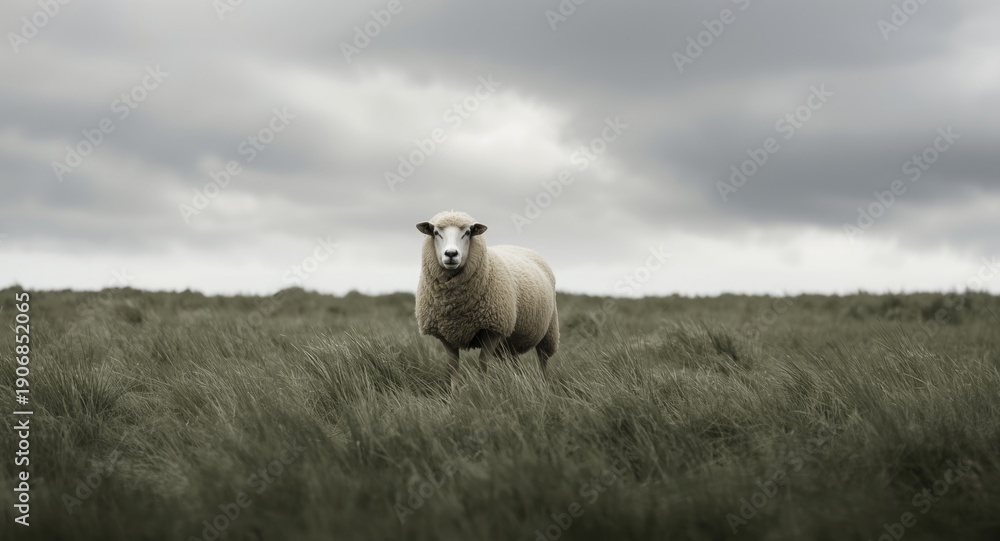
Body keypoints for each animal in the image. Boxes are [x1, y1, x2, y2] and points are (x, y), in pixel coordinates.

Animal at [415, 210, 559, 391]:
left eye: (467, 232)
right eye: (435, 232)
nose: (451, 254)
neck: (454, 305)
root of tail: (520, 247)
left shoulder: (493, 329)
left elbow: (482, 363)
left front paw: (483, 389)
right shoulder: (445, 333)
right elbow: (453, 365)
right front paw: (454, 394)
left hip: (549, 331)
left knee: (543, 360)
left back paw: (545, 386)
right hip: (510, 341)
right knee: (515, 362)